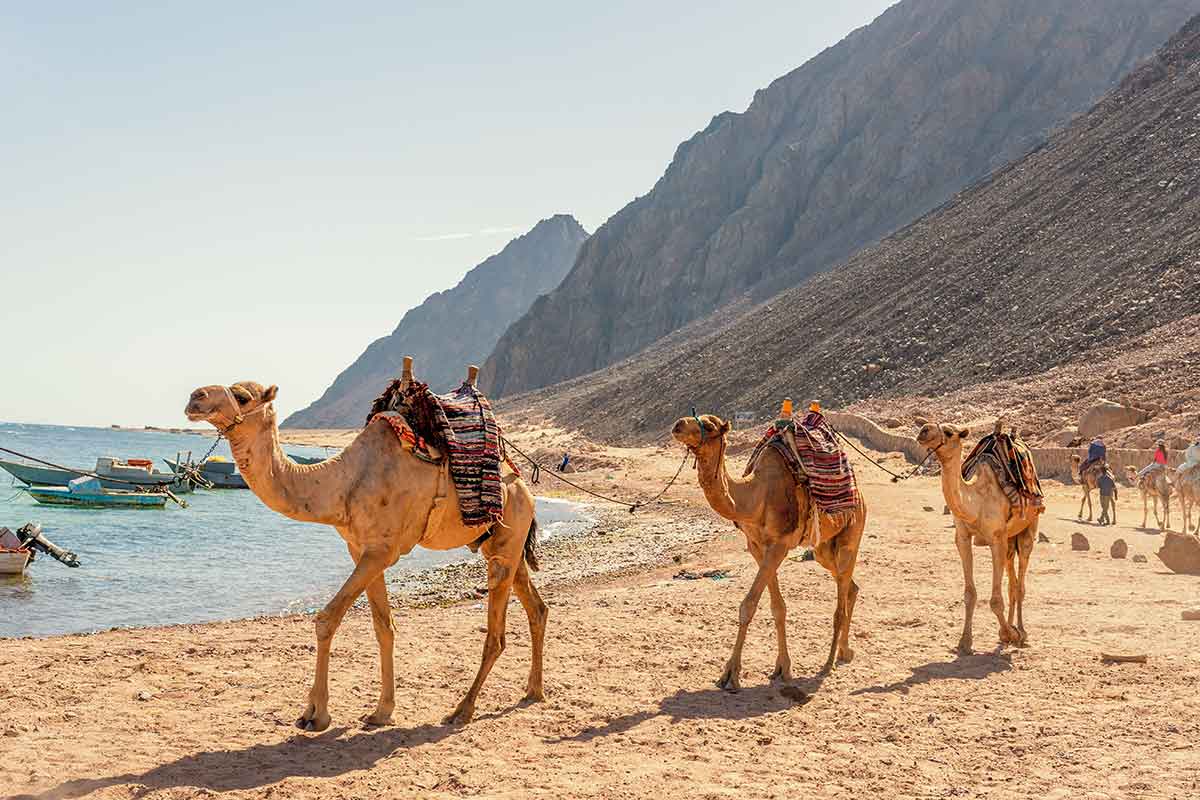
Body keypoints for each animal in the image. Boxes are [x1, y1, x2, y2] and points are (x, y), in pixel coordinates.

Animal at [184, 371, 547, 734]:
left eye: (242, 396)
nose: (194, 397)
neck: (343, 484)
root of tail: (525, 489)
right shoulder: (360, 549)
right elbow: (384, 628)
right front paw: (382, 712)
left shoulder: (382, 551)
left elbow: (327, 619)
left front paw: (315, 714)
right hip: (502, 544)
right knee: (537, 608)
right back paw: (534, 691)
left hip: (507, 537)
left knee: (496, 633)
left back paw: (462, 710)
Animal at [672, 412, 868, 690]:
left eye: (708, 426)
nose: (677, 425)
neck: (754, 496)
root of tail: (860, 496)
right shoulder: (757, 547)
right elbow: (777, 607)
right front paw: (782, 668)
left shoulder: (779, 545)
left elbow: (749, 605)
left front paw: (731, 674)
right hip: (823, 548)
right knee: (850, 586)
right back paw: (845, 651)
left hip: (852, 534)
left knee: (840, 600)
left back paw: (829, 662)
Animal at [916, 422, 1041, 652]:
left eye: (948, 432)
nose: (924, 430)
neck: (976, 501)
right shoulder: (963, 538)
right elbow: (969, 594)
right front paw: (965, 641)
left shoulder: (996, 539)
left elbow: (995, 600)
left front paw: (1010, 634)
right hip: (1009, 540)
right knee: (1012, 582)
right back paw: (1011, 629)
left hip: (1028, 528)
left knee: (1020, 583)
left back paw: (1021, 632)